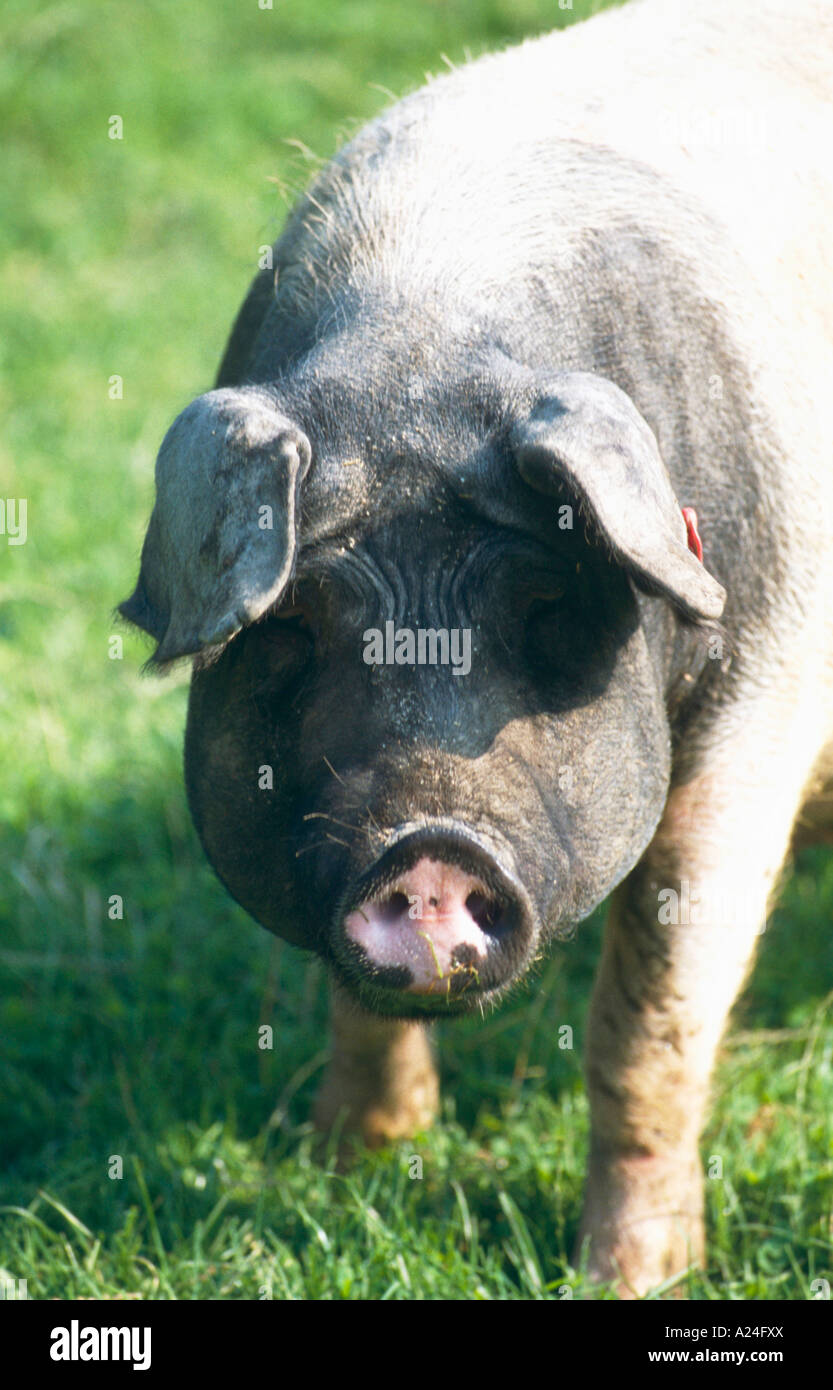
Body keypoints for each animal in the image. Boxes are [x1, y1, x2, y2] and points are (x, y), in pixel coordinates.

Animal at [118, 0, 833, 1295]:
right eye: (293, 627)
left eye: (548, 608)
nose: (428, 843)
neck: (424, 344)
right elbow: (355, 1008)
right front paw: (348, 1161)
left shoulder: (761, 716)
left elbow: (646, 1022)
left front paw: (629, 1278)